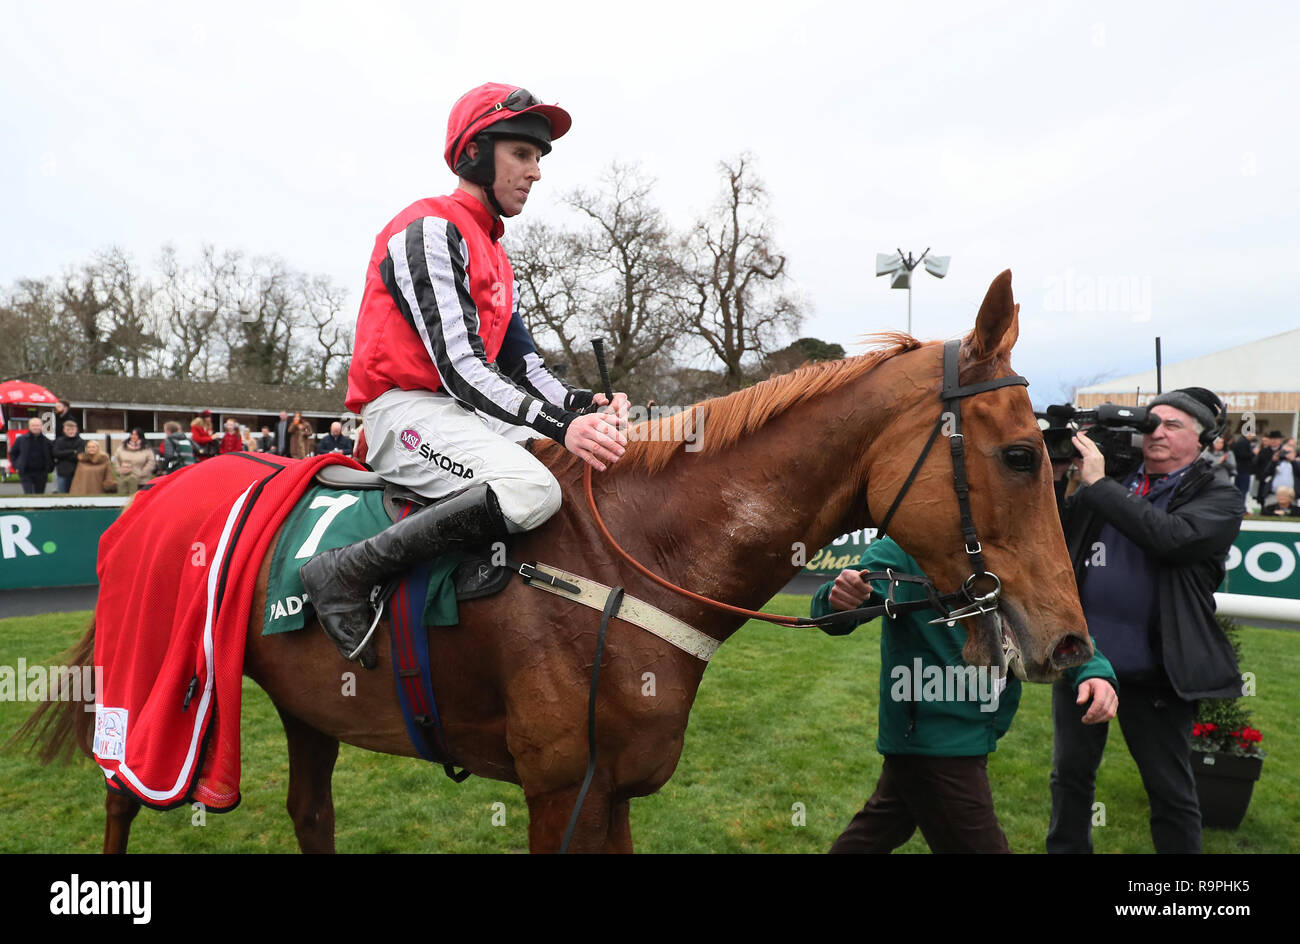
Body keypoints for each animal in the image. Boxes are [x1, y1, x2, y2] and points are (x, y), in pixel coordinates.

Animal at [25, 270, 1092, 852]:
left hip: (308, 703)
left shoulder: (609, 793)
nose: (1070, 643)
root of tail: (158, 494)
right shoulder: (554, 792)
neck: (631, 564)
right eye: (1022, 454)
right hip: (154, 693)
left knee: (308, 811)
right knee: (122, 803)